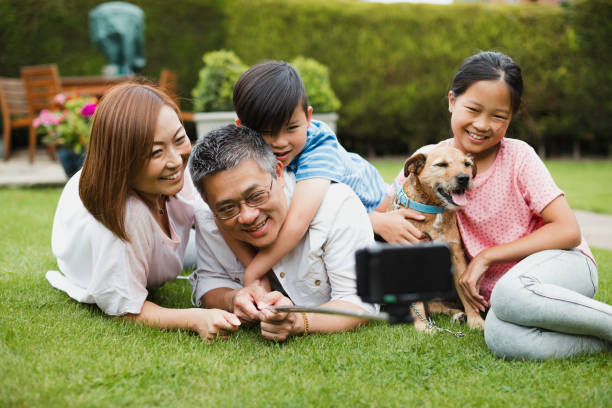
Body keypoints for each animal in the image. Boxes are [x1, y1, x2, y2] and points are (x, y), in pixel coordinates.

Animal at [392, 147, 488, 332]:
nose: (464, 178)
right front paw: (422, 326)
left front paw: (475, 320)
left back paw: (458, 315)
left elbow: (465, 292)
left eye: (467, 164)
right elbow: (416, 300)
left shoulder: (456, 256)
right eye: (441, 164)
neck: (433, 209)